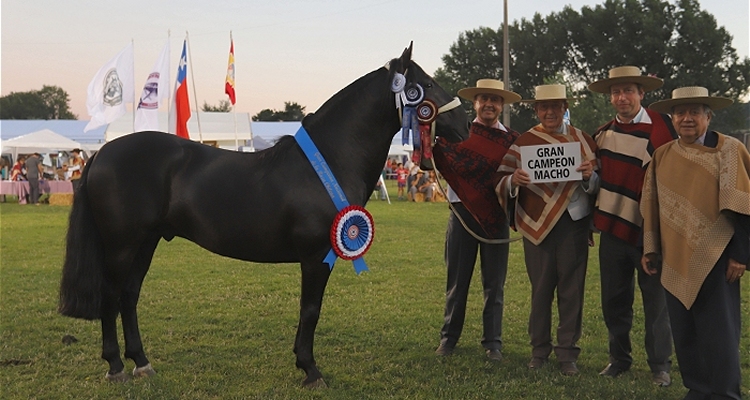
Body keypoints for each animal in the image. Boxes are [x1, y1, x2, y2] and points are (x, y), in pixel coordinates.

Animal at [60, 45, 470, 390]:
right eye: (426, 85)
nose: (465, 124)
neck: (329, 158)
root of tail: (103, 153)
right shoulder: (316, 257)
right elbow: (310, 310)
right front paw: (310, 370)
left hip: (146, 242)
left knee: (128, 296)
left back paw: (142, 363)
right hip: (122, 245)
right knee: (111, 297)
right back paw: (115, 367)